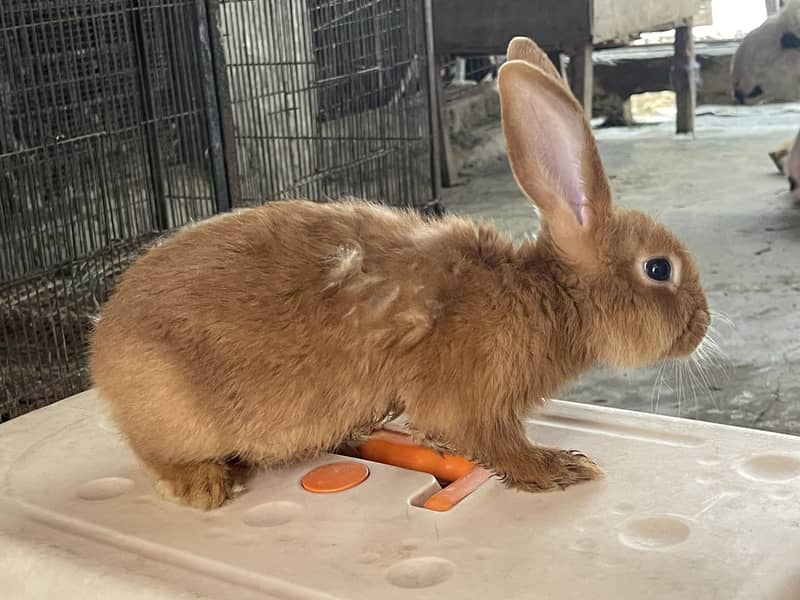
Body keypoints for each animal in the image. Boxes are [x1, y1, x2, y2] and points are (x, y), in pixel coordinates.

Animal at [89, 36, 710, 510]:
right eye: (658, 269)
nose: (701, 326)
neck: (546, 295)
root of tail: (103, 347)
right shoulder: (473, 401)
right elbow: (493, 442)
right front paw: (556, 467)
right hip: (177, 411)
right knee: (158, 452)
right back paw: (203, 485)